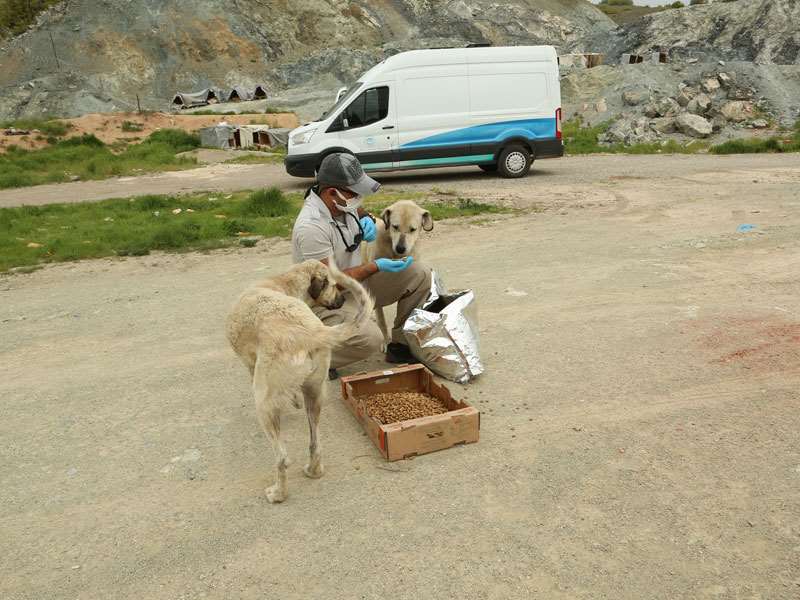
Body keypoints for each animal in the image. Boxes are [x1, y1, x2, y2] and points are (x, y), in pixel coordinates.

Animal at [227, 260, 374, 504]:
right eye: (332, 286)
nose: (342, 301)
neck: (282, 283)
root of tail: (311, 332)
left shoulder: (250, 365)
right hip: (315, 396)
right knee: (315, 444)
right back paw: (314, 471)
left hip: (263, 404)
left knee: (282, 458)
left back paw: (278, 493)